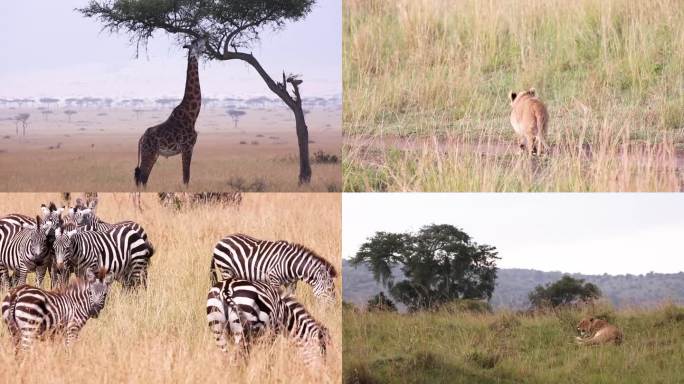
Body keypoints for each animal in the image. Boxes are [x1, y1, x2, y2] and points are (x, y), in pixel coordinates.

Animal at [135, 38, 206, 188]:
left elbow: (186, 178)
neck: (192, 115)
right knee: (141, 178)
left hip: (153, 154)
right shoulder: (187, 147)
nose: (206, 36)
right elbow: (186, 178)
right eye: (196, 43)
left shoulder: (188, 148)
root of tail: (141, 138)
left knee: (143, 179)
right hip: (148, 152)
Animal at [208, 234, 336, 304]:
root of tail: (221, 240)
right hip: (226, 269)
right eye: (330, 290)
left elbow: (290, 298)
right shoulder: (274, 279)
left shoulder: (291, 284)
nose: (332, 311)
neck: (290, 264)